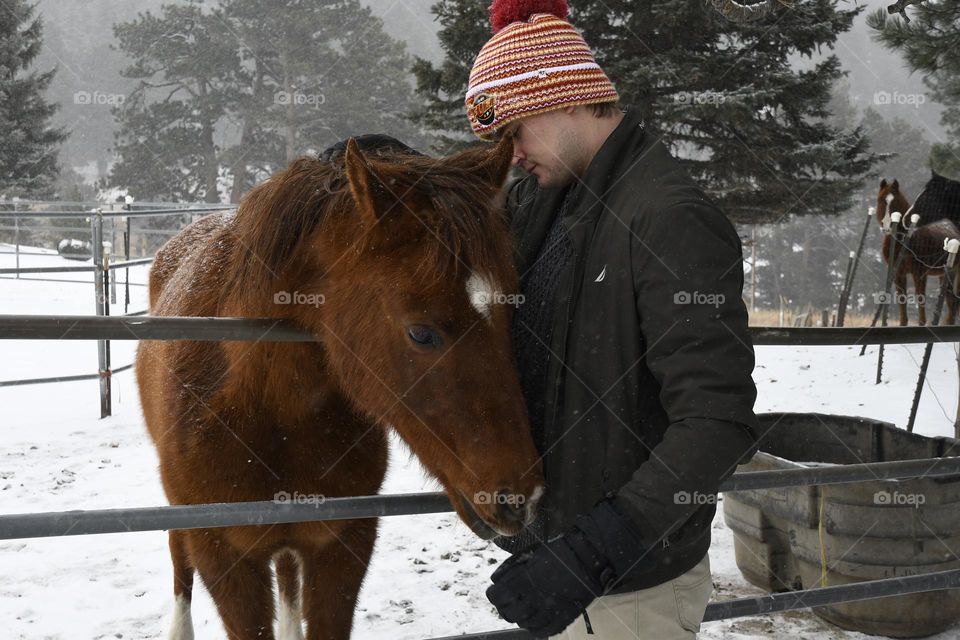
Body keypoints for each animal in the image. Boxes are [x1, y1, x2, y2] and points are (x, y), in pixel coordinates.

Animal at [135, 135, 545, 640]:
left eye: (512, 310)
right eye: (421, 333)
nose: (521, 499)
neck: (263, 410)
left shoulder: (344, 544)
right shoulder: (224, 555)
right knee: (179, 557)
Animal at [875, 178, 960, 326]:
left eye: (895, 201)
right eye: (881, 200)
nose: (887, 226)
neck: (906, 239)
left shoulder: (919, 273)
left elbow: (920, 297)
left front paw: (922, 323)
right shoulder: (899, 273)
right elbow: (902, 298)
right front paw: (903, 323)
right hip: (945, 274)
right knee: (951, 301)